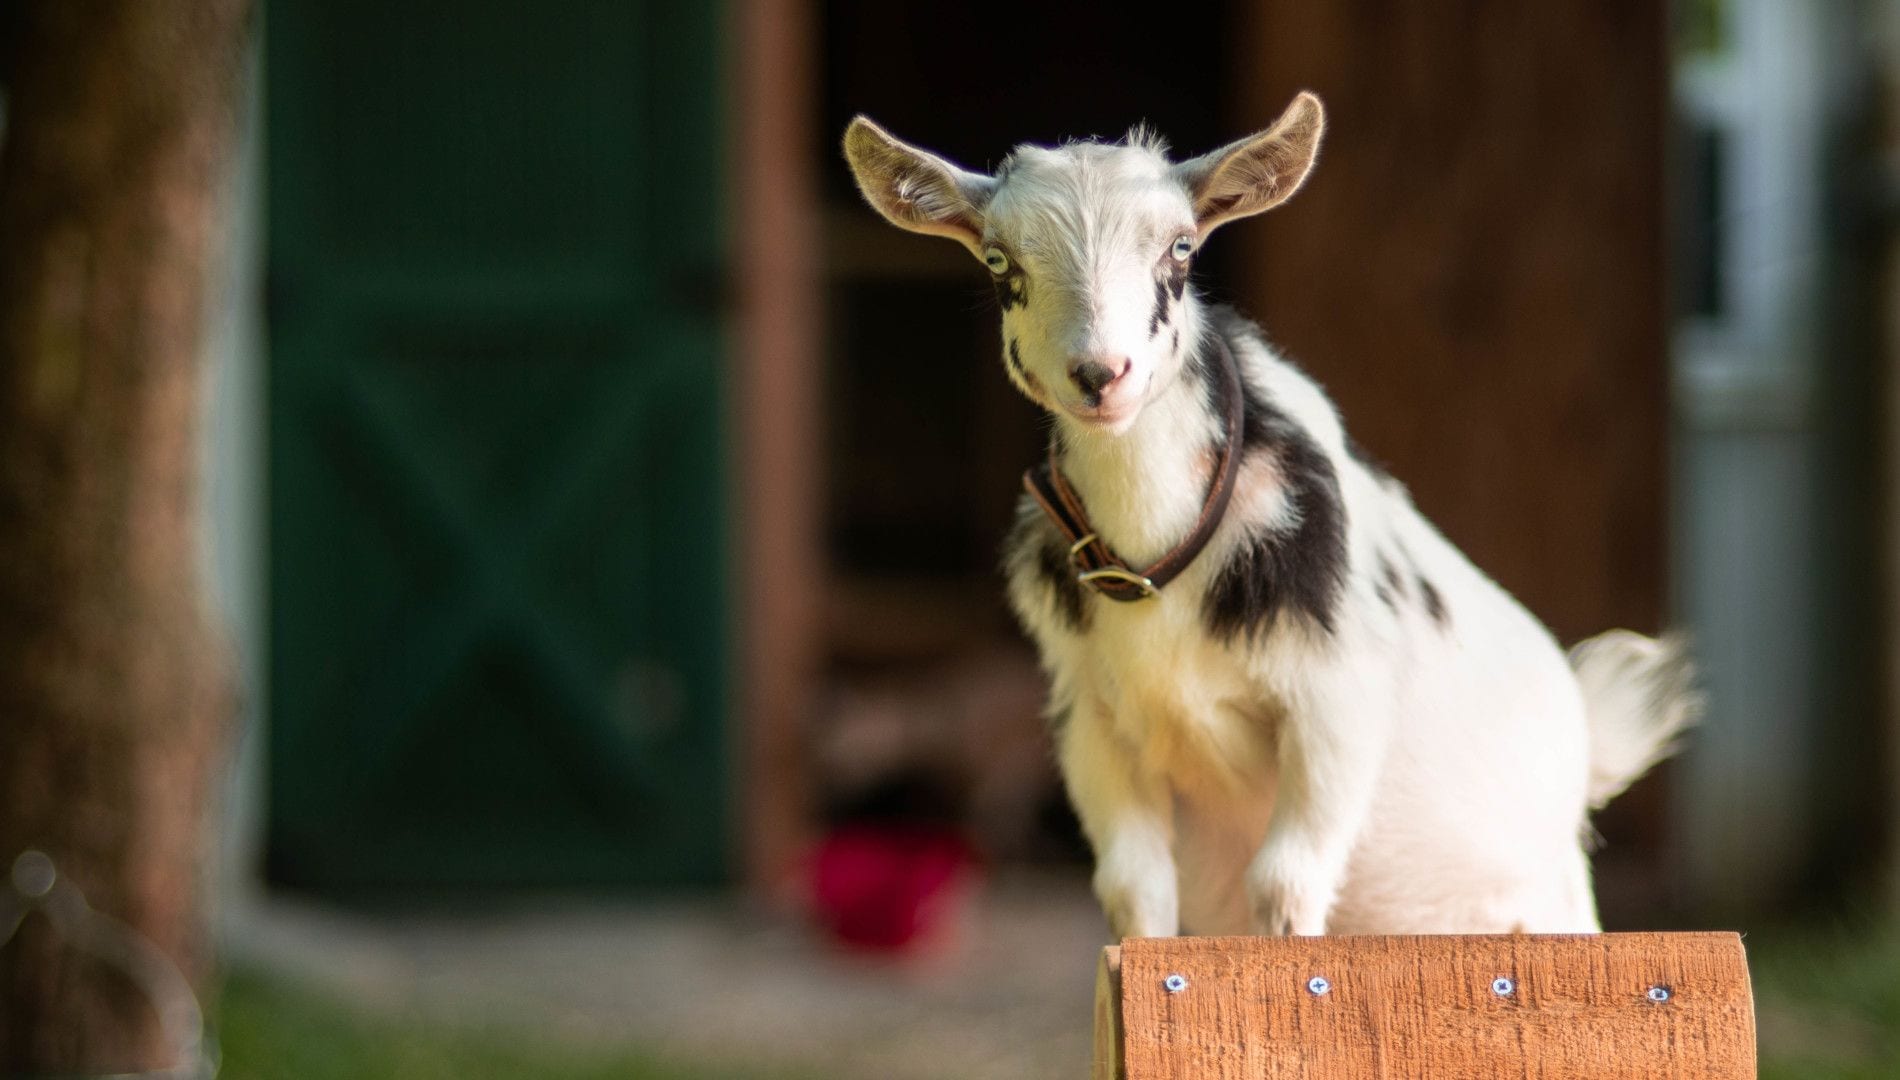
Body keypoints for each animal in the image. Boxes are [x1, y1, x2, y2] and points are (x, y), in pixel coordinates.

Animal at [840, 92, 1697, 938]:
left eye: (1182, 248)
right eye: (998, 260)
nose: (1100, 373)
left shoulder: (1336, 702)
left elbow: (1285, 882)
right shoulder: (1092, 723)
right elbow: (1134, 889)